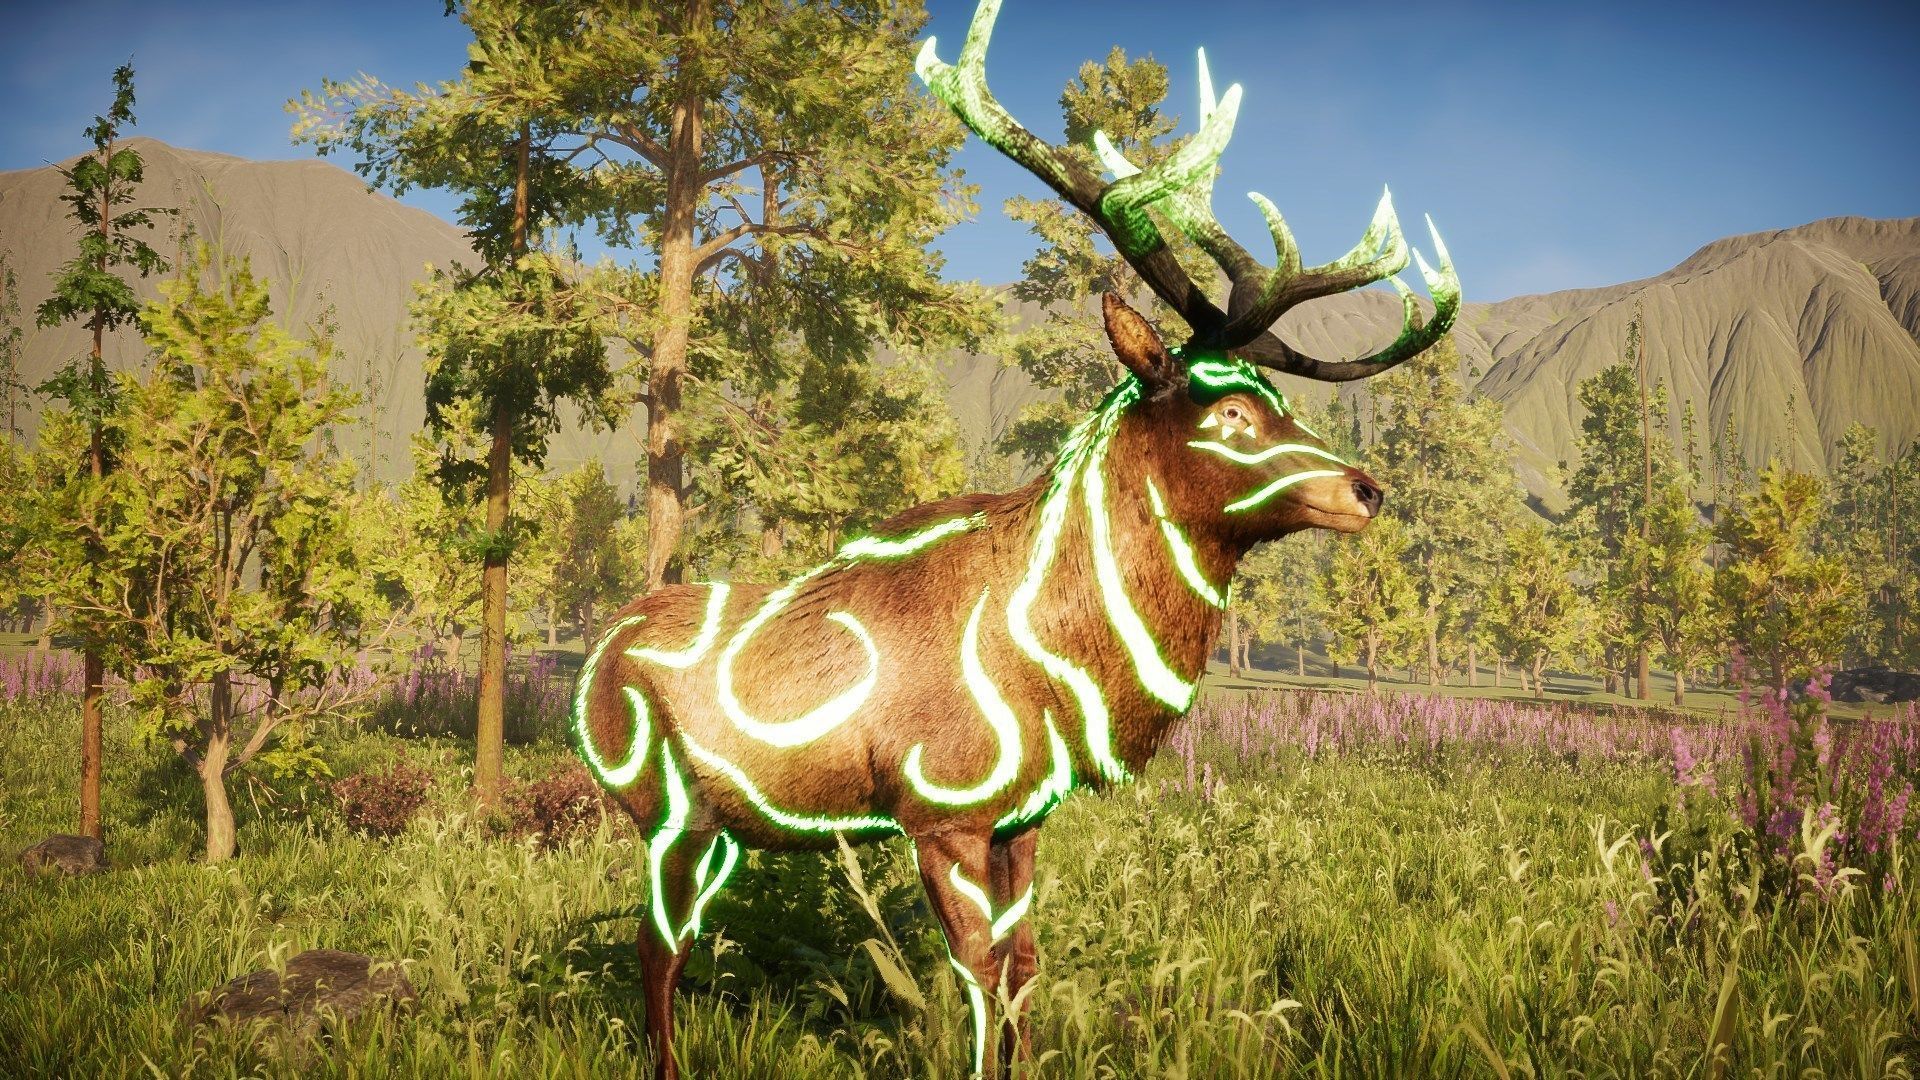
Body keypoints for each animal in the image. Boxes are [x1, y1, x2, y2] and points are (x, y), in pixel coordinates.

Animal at [570, 2, 1459, 1076]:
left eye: (1280, 397)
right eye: (1232, 410)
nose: (1366, 489)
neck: (1062, 664)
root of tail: (594, 658)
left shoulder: (1027, 816)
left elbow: (1028, 961)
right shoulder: (942, 810)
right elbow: (978, 973)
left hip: (726, 828)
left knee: (680, 939)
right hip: (659, 805)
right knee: (654, 946)